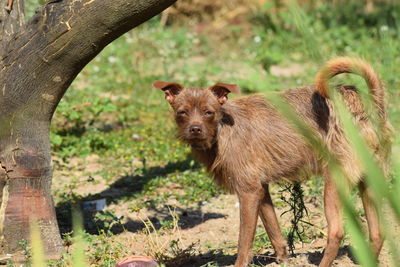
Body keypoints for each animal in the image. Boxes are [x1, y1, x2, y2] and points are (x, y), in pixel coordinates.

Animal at [154, 58, 394, 267]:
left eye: (209, 113)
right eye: (182, 113)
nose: (195, 129)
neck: (222, 130)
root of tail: (369, 106)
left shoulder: (248, 193)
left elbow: (244, 242)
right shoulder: (261, 191)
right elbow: (275, 231)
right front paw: (283, 260)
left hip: (334, 183)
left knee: (336, 232)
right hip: (368, 185)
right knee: (377, 232)